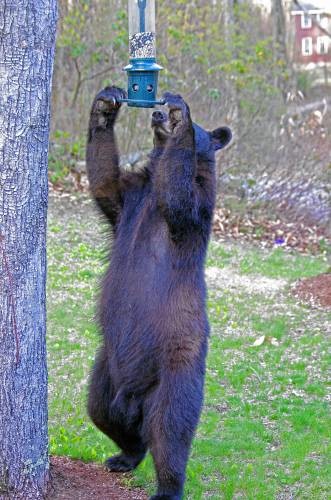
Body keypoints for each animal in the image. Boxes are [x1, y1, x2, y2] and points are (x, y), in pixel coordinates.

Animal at [87, 87, 232, 500]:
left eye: (200, 129)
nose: (156, 116)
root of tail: (136, 398)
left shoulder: (193, 215)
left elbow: (180, 198)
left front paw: (181, 117)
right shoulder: (130, 202)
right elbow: (103, 180)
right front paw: (105, 105)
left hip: (176, 365)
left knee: (170, 430)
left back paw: (168, 485)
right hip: (107, 367)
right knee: (101, 411)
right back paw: (125, 454)